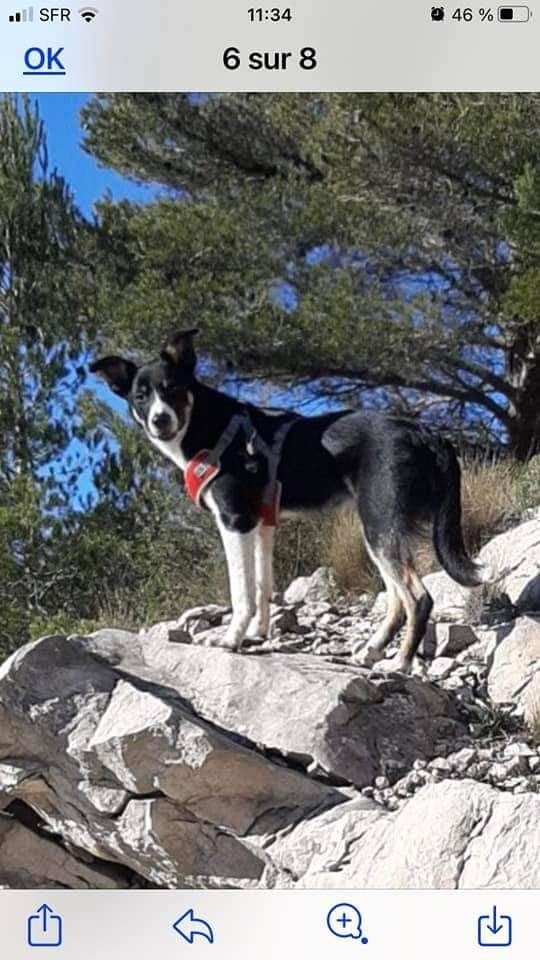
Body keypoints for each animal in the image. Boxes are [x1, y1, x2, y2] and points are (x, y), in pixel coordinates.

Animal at [90, 326, 492, 672]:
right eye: (140, 396)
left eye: (172, 388)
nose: (159, 420)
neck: (208, 425)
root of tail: (425, 432)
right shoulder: (261, 525)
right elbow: (262, 586)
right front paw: (256, 636)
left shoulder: (235, 521)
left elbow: (242, 592)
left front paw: (230, 640)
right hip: (378, 529)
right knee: (396, 599)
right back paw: (372, 650)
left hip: (380, 524)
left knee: (418, 598)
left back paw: (400, 662)